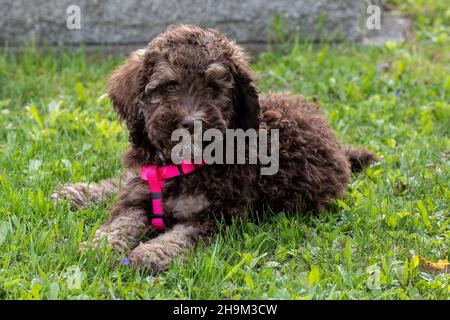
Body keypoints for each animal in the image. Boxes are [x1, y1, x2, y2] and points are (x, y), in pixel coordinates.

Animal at [51, 25, 376, 272]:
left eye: (213, 88)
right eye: (170, 86)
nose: (191, 123)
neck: (182, 167)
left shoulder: (216, 215)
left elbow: (178, 238)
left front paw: (147, 255)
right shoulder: (139, 197)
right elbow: (120, 222)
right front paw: (100, 247)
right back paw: (76, 193)